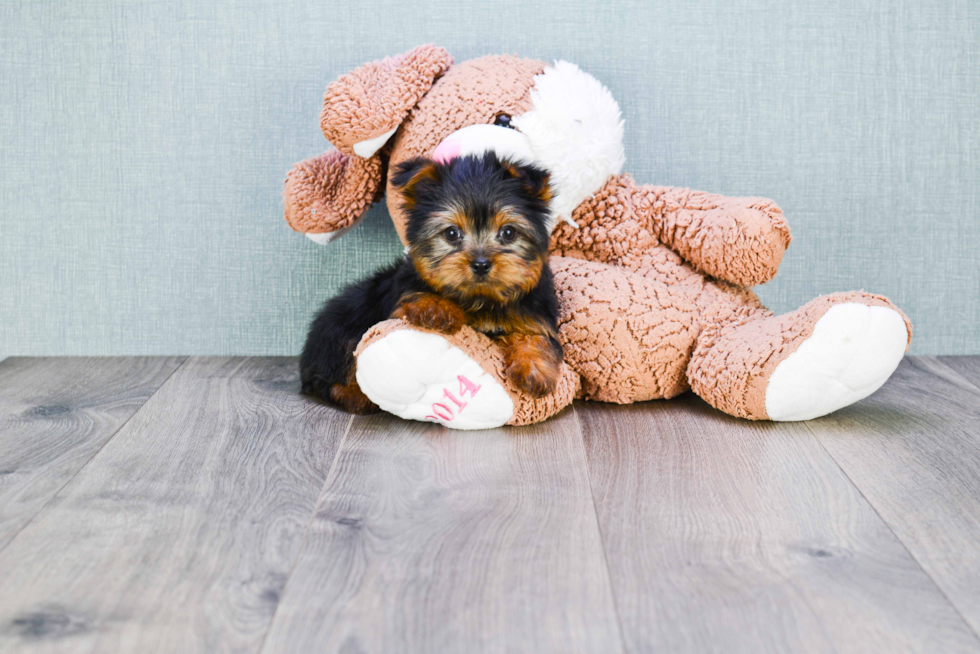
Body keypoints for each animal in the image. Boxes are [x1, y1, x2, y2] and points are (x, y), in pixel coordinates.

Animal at [298, 152, 564, 416]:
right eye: (451, 233)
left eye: (508, 233)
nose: (480, 264)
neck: (480, 300)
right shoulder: (401, 296)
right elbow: (415, 293)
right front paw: (437, 309)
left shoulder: (535, 315)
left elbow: (536, 337)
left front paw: (534, 368)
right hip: (341, 330)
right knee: (330, 378)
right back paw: (358, 396)